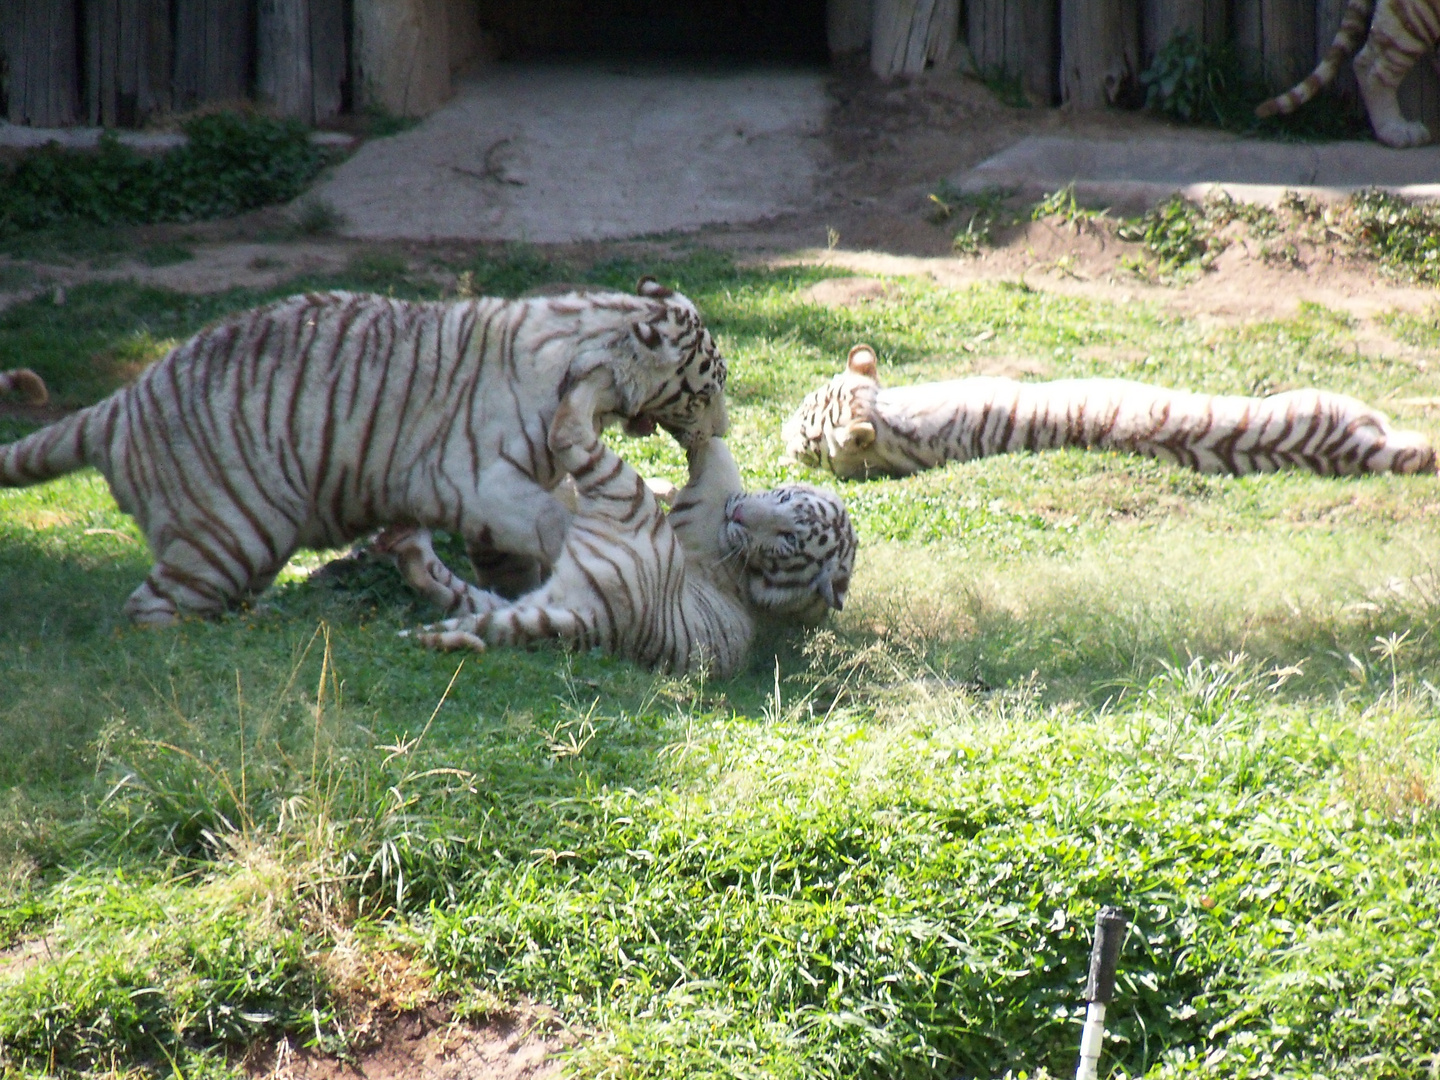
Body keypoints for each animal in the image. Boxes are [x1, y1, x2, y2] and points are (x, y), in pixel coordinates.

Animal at [0, 279, 725, 624]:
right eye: (707, 387)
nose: (720, 429)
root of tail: (122, 400)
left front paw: (517, 585)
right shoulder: (479, 480)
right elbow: (555, 521)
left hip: (246, 543)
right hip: (231, 528)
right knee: (149, 609)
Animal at [400, 397, 852, 676]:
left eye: (788, 538)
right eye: (784, 497)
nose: (739, 513)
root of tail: (604, 623)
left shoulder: (708, 497)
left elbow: (715, 449)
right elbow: (716, 446)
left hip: (627, 498)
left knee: (569, 434)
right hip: (531, 601)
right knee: (452, 594)